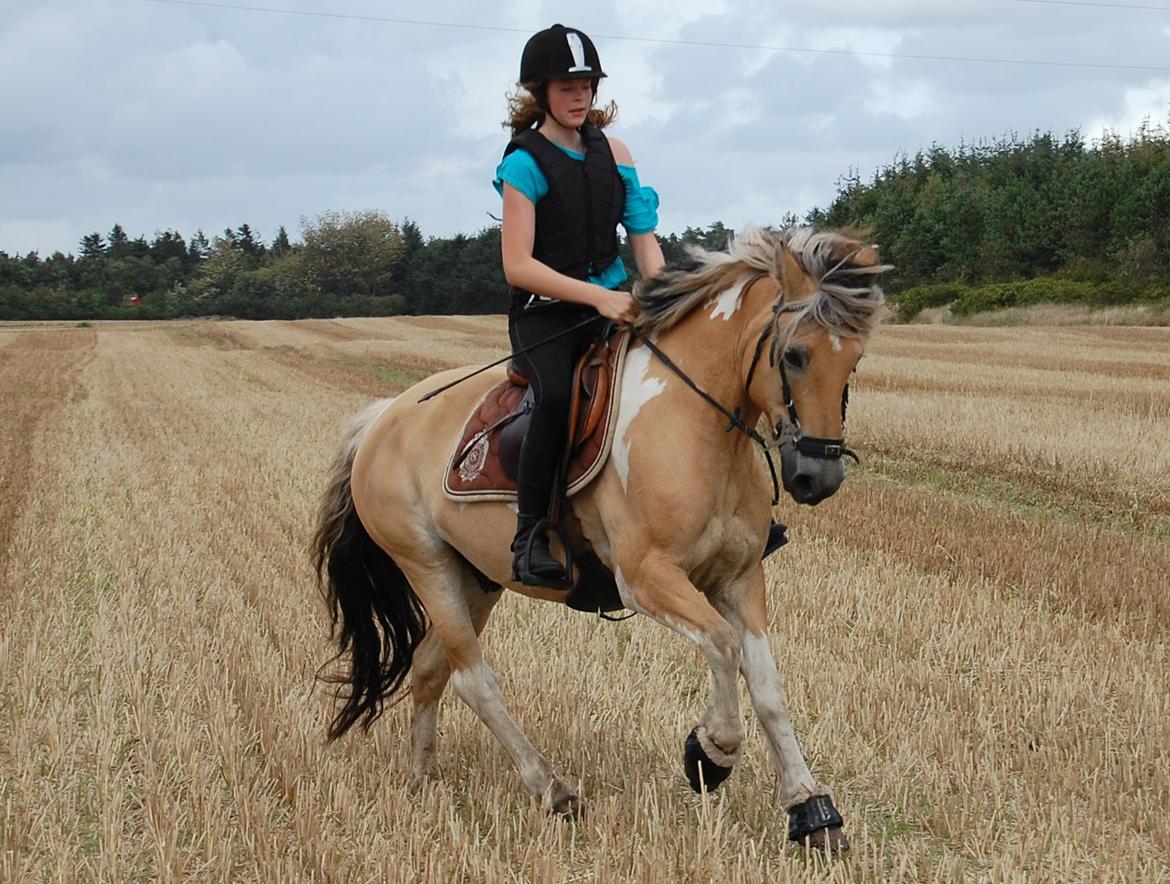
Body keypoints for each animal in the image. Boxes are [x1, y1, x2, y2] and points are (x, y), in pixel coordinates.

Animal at [311, 225, 884, 851]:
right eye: (795, 355)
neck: (698, 423)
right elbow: (722, 646)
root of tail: (381, 420)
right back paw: (552, 788)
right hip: (427, 566)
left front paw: (811, 810)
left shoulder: (739, 579)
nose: (817, 478)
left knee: (430, 667)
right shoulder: (647, 577)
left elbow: (768, 687)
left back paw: (424, 781)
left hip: (477, 579)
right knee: (473, 679)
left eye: (854, 360)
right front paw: (710, 753)